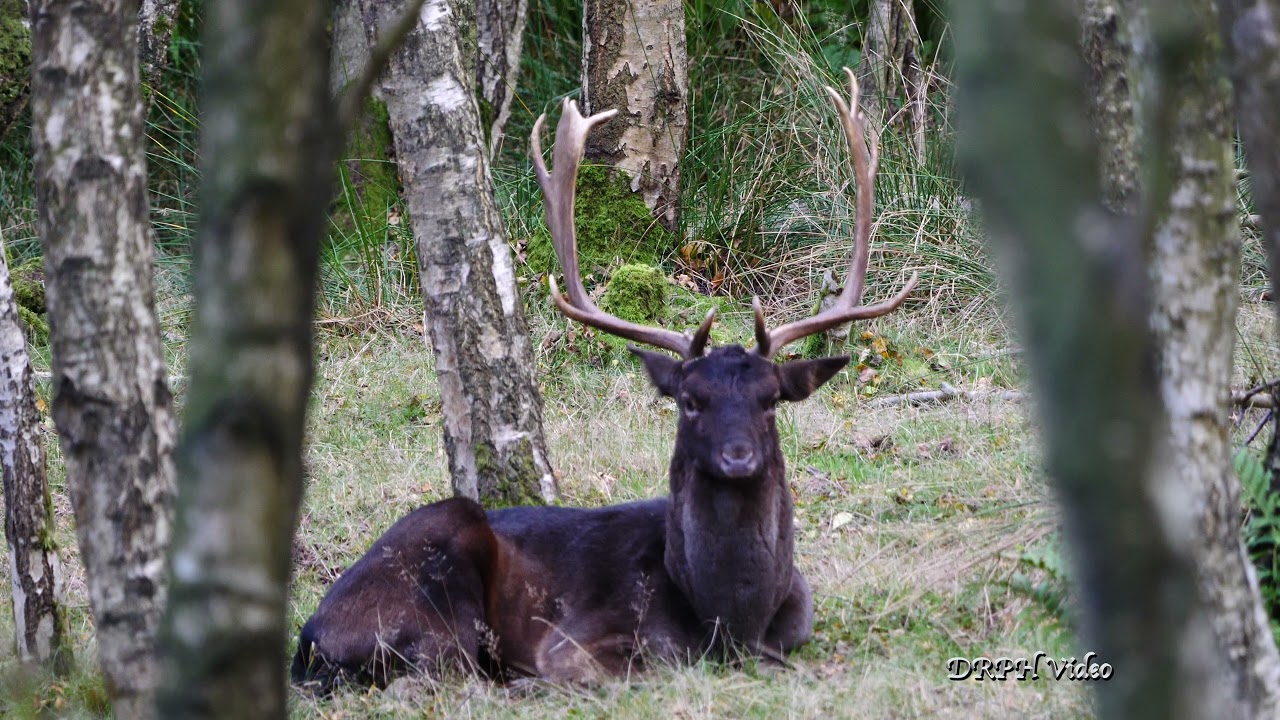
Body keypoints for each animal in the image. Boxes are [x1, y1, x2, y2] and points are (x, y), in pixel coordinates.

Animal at [291, 68, 918, 694]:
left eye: (771, 400)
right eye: (690, 401)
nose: (738, 457)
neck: (730, 617)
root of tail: (308, 636)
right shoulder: (575, 643)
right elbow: (645, 666)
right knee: (441, 669)